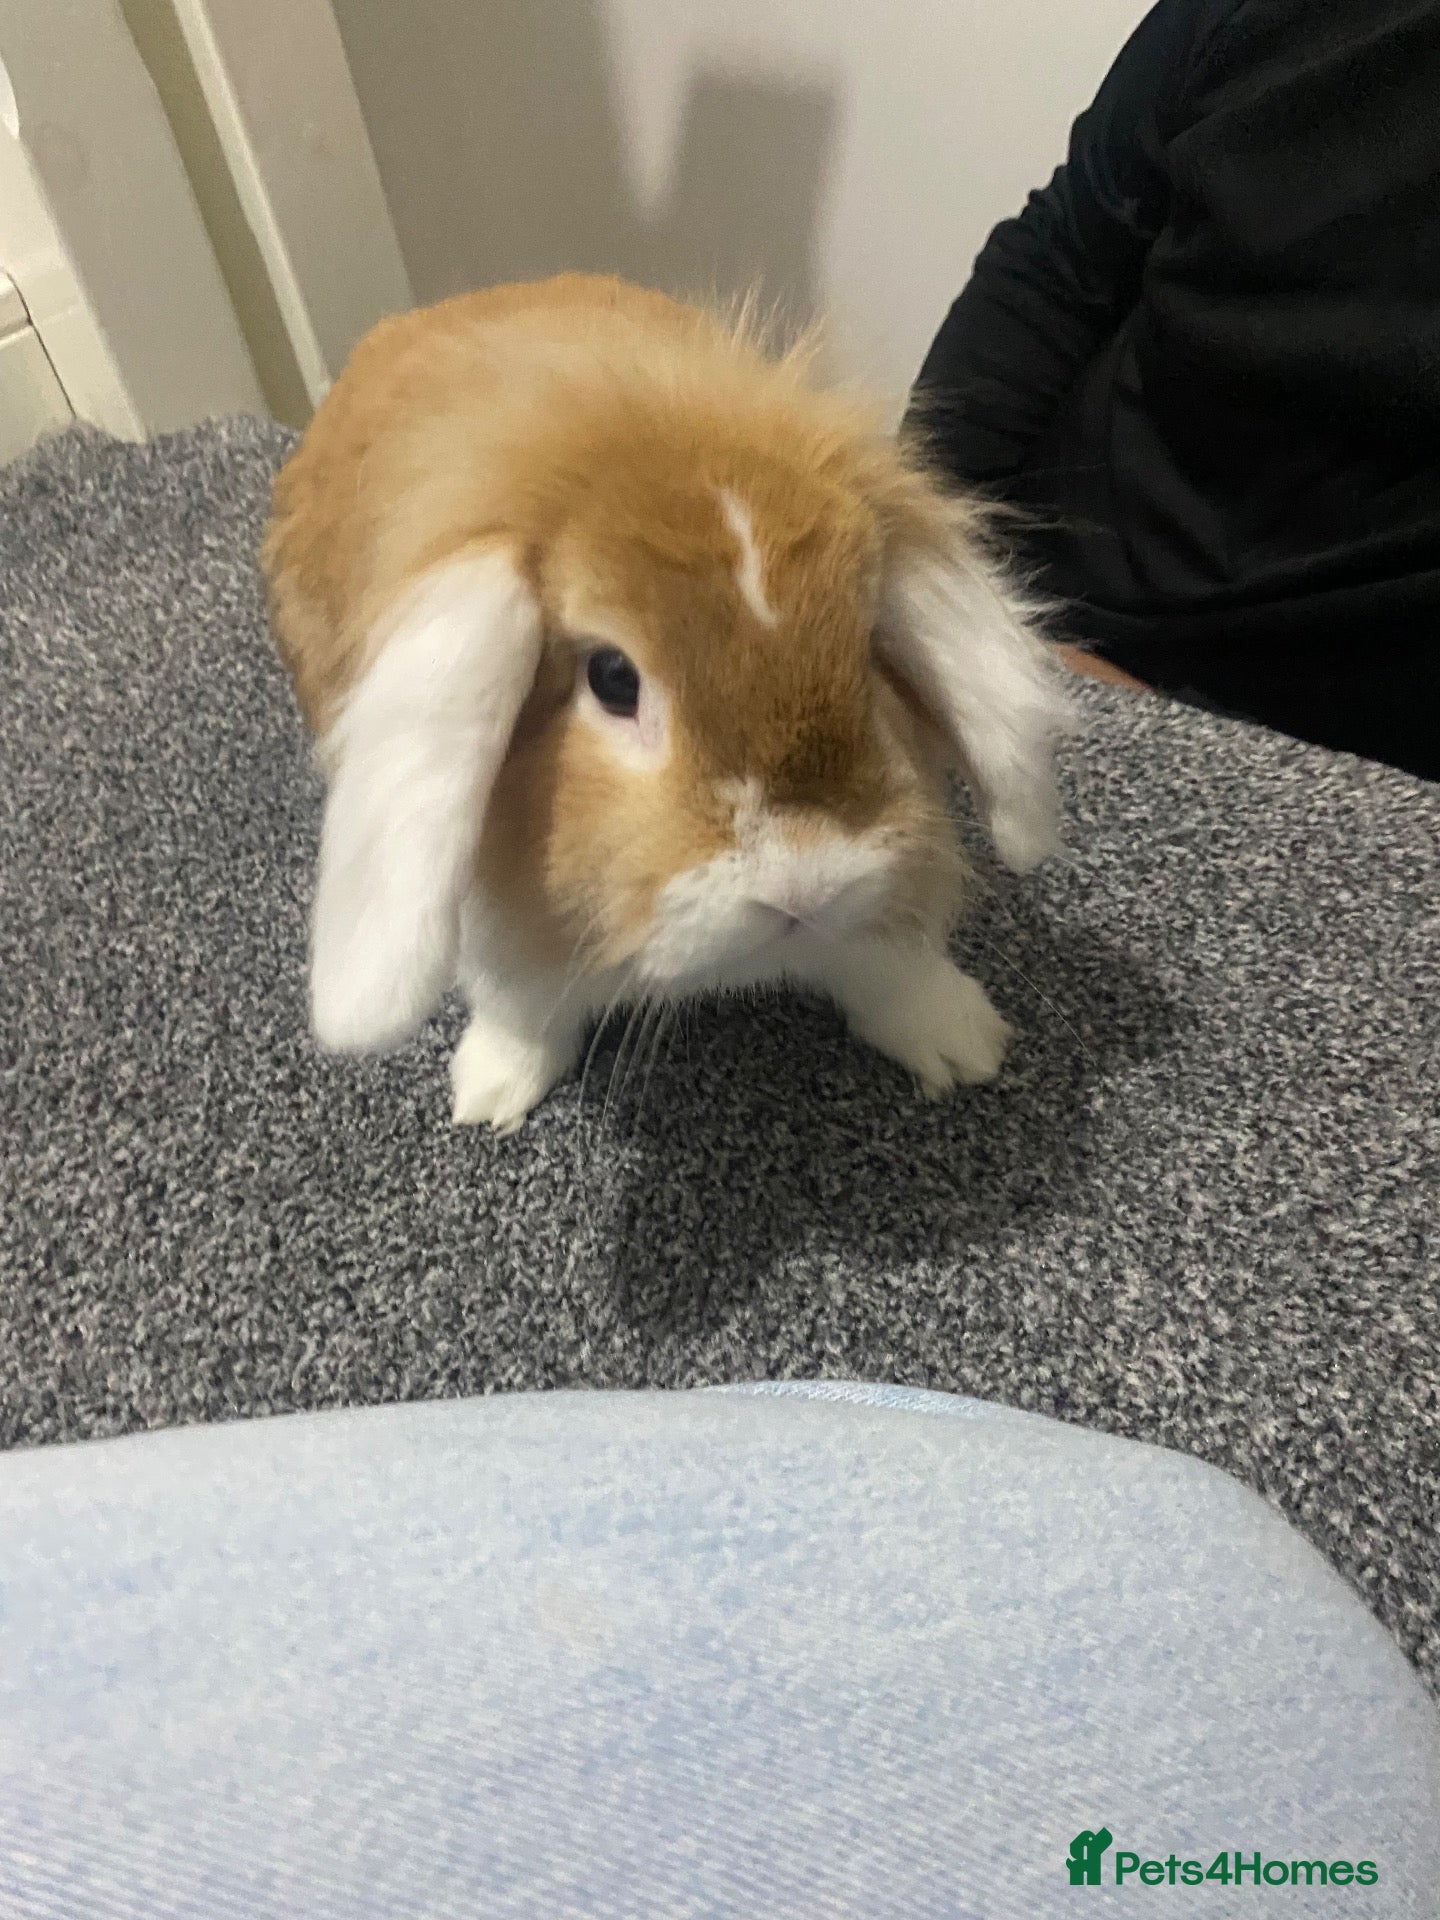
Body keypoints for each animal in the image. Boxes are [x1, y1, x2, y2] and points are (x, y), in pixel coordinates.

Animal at [263, 274, 1067, 1131]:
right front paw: (492, 1092)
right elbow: (524, 1011)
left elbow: (889, 967)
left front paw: (962, 1042)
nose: (805, 888)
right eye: (614, 678)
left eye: (864, 645)